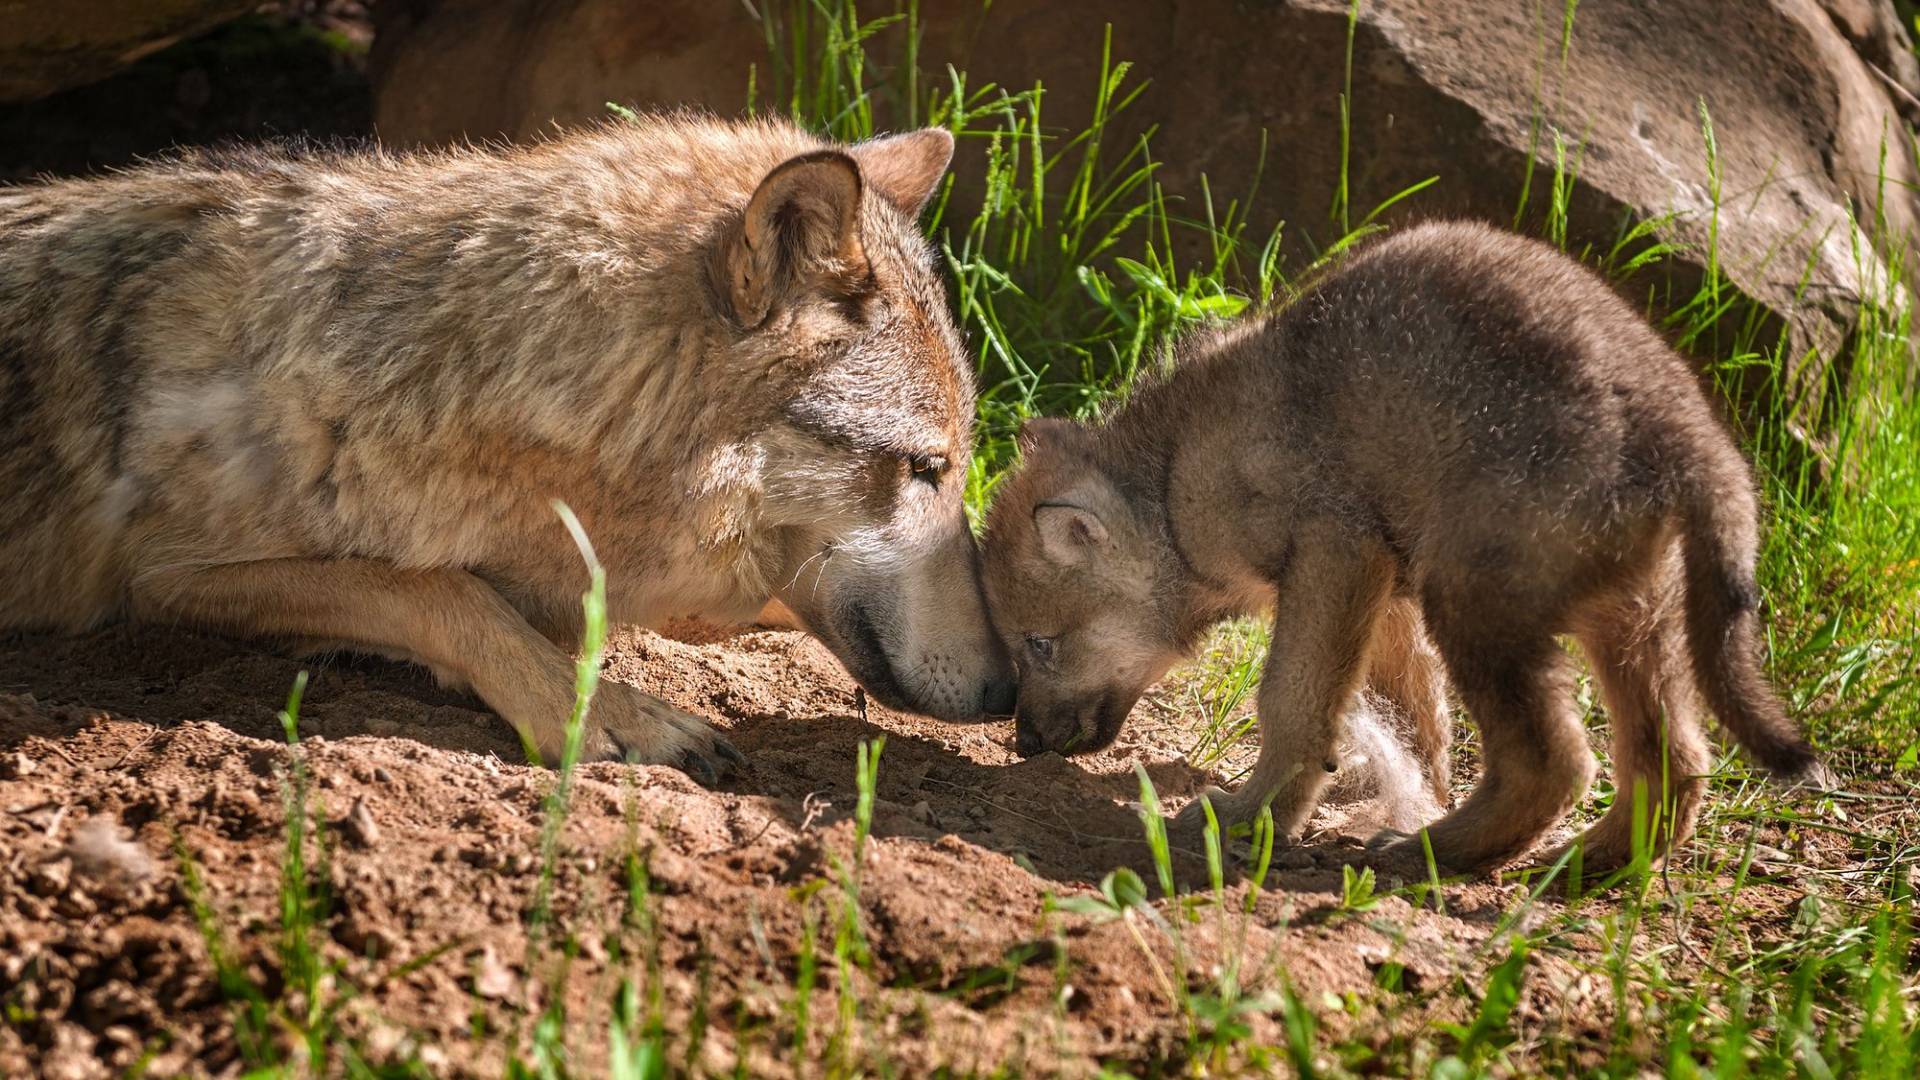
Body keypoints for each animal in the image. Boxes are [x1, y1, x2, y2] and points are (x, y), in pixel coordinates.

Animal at [0, 113, 1021, 776]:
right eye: (925, 469)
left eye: (956, 470)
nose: (1008, 693)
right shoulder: (168, 577)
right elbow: (438, 589)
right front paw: (613, 713)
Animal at [983, 222, 1820, 868]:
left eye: (1039, 643)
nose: (1023, 743)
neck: (1176, 474)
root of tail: (1688, 440)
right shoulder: (1383, 588)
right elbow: (1415, 721)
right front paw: (1388, 788)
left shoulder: (1335, 552)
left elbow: (1295, 704)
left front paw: (1253, 819)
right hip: (1628, 624)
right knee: (1673, 764)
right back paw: (1580, 866)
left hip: (1477, 607)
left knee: (1555, 765)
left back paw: (1432, 853)